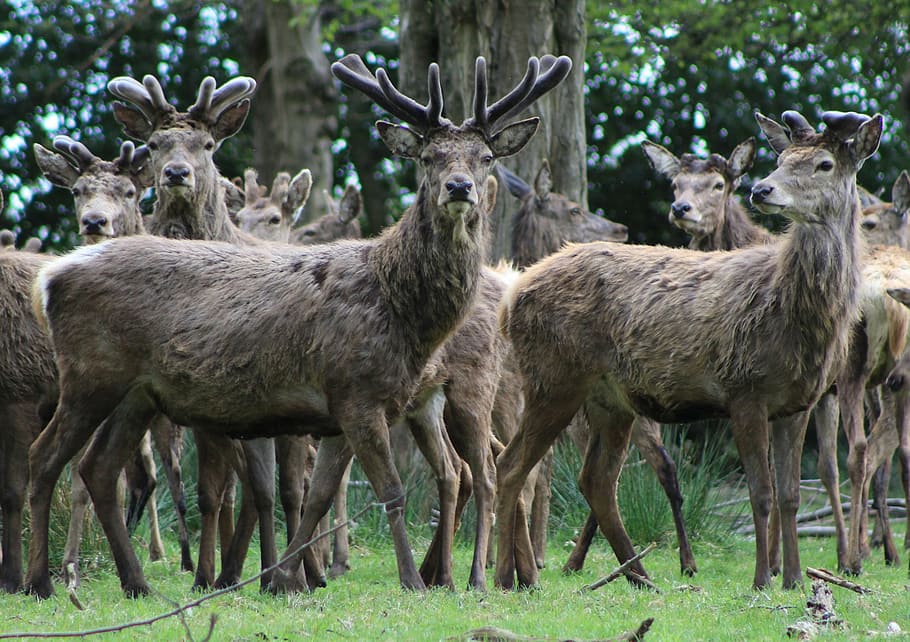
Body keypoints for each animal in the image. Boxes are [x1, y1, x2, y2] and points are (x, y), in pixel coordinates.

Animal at [22, 53, 571, 598]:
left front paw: (288, 578)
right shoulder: (357, 393)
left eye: (486, 157)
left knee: (97, 469)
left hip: (137, 393)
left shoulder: (345, 408)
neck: (399, 305)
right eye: (429, 157)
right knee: (44, 457)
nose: (460, 187)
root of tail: (50, 277)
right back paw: (40, 581)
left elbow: (319, 495)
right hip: (91, 373)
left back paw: (137, 584)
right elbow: (388, 492)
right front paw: (409, 582)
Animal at [493, 110, 882, 592]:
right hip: (553, 378)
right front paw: (762, 579)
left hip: (611, 400)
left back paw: (639, 576)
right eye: (782, 158)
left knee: (596, 480)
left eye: (824, 163)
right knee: (510, 465)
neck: (792, 309)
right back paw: (508, 577)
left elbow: (790, 495)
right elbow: (761, 493)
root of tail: (512, 297)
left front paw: (793, 578)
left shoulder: (798, 402)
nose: (762, 189)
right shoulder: (744, 390)